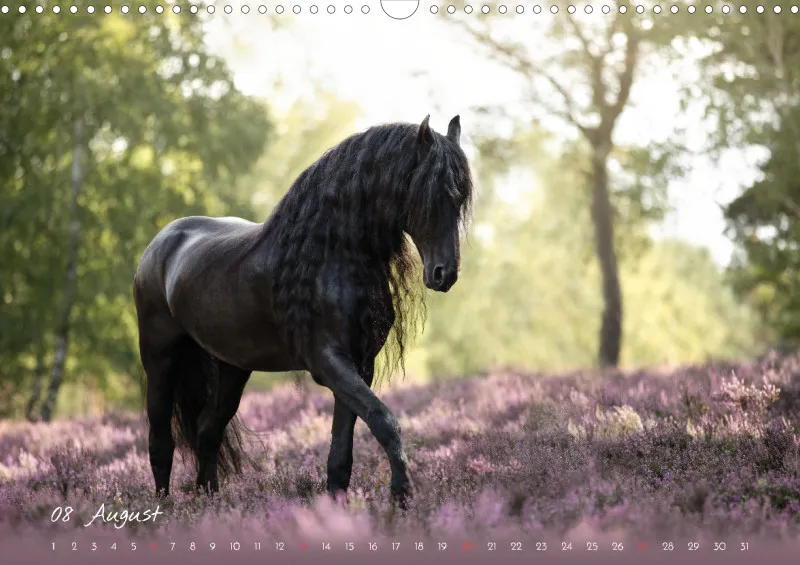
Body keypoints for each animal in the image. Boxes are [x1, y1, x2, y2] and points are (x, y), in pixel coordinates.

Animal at [133, 115, 473, 508]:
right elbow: (384, 420)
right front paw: (401, 498)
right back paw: (163, 509)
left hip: (233, 367)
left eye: (460, 198)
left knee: (207, 431)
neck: (330, 256)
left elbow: (341, 452)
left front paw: (339, 506)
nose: (444, 274)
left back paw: (212, 505)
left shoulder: (360, 365)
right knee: (161, 440)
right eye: (428, 193)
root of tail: (160, 244)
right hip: (160, 360)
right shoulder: (328, 361)